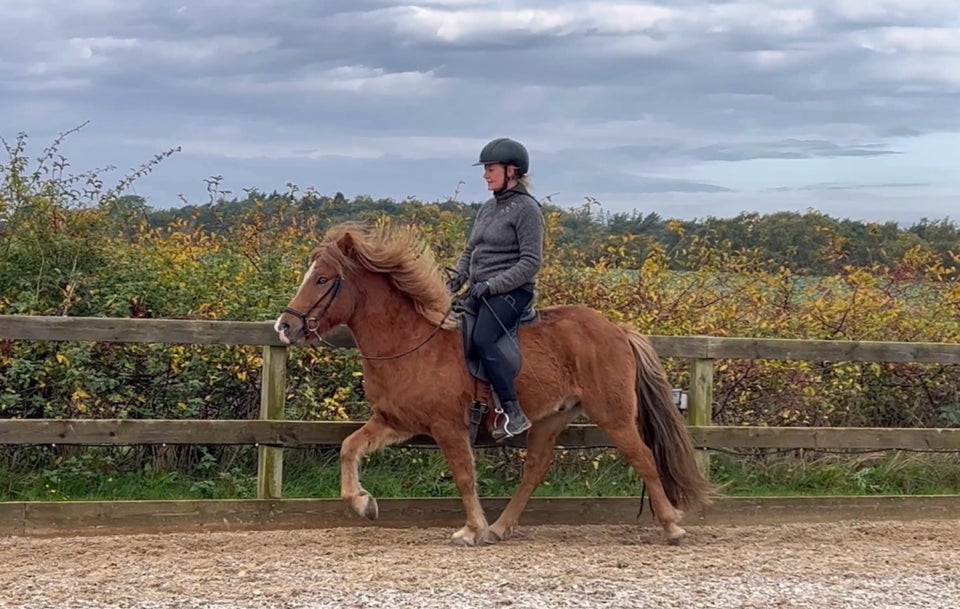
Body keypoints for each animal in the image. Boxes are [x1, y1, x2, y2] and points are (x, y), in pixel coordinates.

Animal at [274, 220, 716, 548]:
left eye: (323, 279)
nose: (285, 327)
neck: (410, 340)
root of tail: (617, 330)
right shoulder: (395, 421)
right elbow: (350, 447)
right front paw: (363, 504)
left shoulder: (448, 426)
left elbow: (464, 475)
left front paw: (470, 530)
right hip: (552, 418)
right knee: (534, 470)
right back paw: (502, 528)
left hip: (614, 415)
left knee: (644, 459)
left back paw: (672, 526)